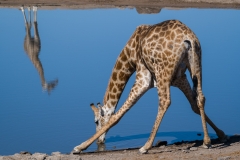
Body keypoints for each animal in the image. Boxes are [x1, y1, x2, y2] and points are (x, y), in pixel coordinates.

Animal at [73, 20, 227, 154]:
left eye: (96, 121)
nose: (100, 142)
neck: (130, 54)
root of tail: (188, 38)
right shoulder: (179, 78)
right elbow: (194, 105)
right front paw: (221, 135)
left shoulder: (143, 78)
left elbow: (117, 115)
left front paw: (79, 147)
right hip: (196, 65)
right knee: (201, 97)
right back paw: (206, 141)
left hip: (163, 72)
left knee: (164, 101)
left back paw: (145, 146)